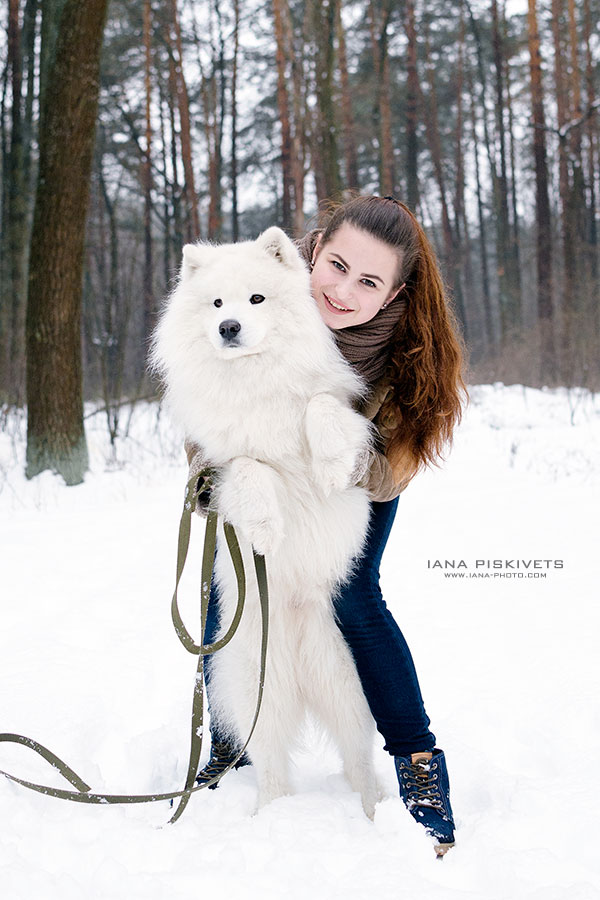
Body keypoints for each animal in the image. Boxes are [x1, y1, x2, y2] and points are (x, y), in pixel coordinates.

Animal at [154, 225, 380, 816]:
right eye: (216, 304)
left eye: (256, 299)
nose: (228, 327)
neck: (253, 380)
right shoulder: (221, 463)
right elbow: (253, 469)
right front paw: (265, 530)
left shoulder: (343, 408)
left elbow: (322, 410)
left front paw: (330, 468)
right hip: (257, 687)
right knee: (272, 759)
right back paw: (270, 814)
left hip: (348, 686)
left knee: (360, 757)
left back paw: (377, 812)